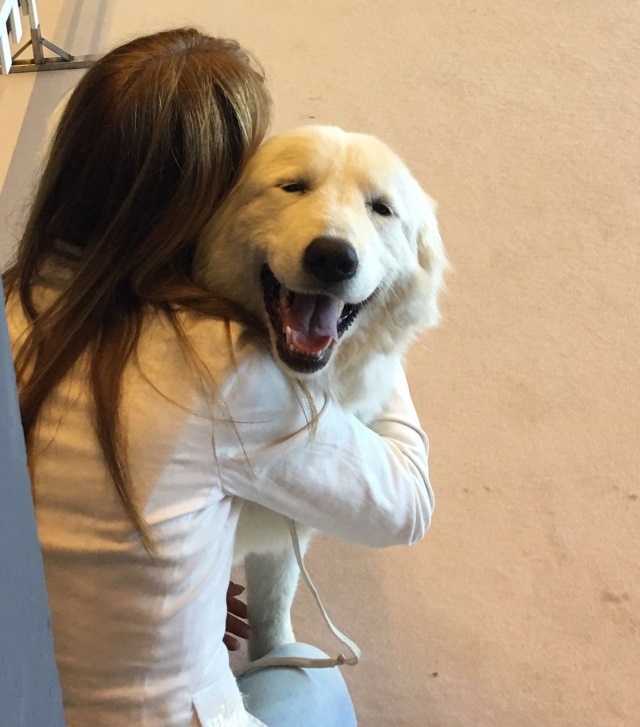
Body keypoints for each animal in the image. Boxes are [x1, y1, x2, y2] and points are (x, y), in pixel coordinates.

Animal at [194, 125, 447, 660]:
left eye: (381, 208)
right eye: (293, 187)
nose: (333, 257)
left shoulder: (280, 545)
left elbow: (273, 618)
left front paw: (277, 656)